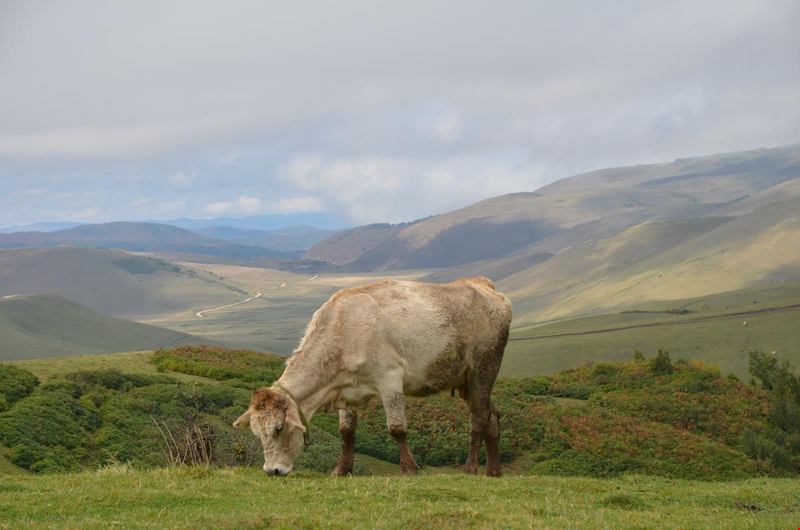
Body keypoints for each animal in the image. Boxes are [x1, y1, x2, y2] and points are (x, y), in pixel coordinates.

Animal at [234, 276, 516, 474]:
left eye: (279, 428)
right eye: (256, 433)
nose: (272, 470)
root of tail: (481, 284)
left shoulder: (389, 378)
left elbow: (397, 428)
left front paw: (409, 468)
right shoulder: (345, 389)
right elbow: (346, 431)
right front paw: (341, 470)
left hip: (484, 367)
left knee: (478, 420)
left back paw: (471, 468)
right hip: (466, 378)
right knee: (492, 415)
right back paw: (494, 471)